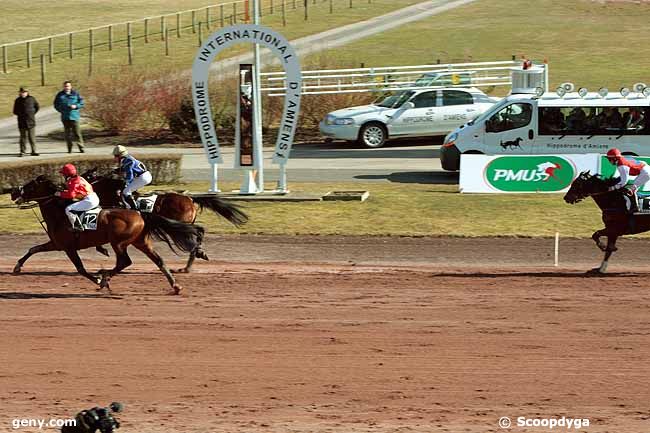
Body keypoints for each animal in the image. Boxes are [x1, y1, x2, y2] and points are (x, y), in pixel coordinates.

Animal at [10, 175, 202, 294]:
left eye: (30, 185)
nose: (13, 192)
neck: (59, 214)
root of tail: (140, 214)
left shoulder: (68, 247)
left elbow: (80, 269)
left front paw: (97, 279)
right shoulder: (56, 244)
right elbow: (33, 249)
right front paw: (17, 267)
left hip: (118, 242)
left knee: (124, 261)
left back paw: (104, 278)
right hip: (141, 242)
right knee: (159, 261)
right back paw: (176, 286)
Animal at [81, 168, 251, 272]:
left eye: (87, 176)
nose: (70, 185)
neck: (114, 194)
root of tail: (189, 198)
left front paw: (103, 250)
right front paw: (103, 250)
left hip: (181, 223)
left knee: (196, 234)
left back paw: (193, 258)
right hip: (184, 224)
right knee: (199, 231)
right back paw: (193, 259)